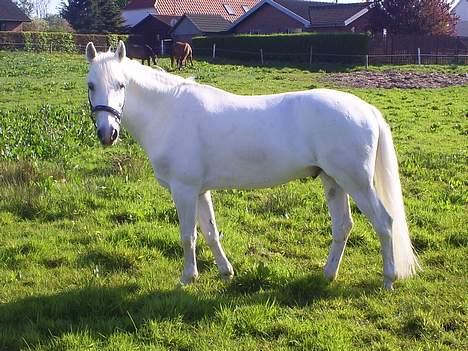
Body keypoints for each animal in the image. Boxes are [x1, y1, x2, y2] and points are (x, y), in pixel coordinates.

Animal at [85, 41, 420, 290]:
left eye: (121, 84)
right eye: (90, 85)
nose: (107, 133)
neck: (169, 111)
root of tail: (367, 109)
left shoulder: (184, 189)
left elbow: (188, 236)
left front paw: (187, 278)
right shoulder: (199, 190)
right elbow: (210, 232)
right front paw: (226, 272)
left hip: (357, 183)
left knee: (384, 223)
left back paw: (388, 279)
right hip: (334, 181)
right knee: (343, 227)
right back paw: (327, 275)